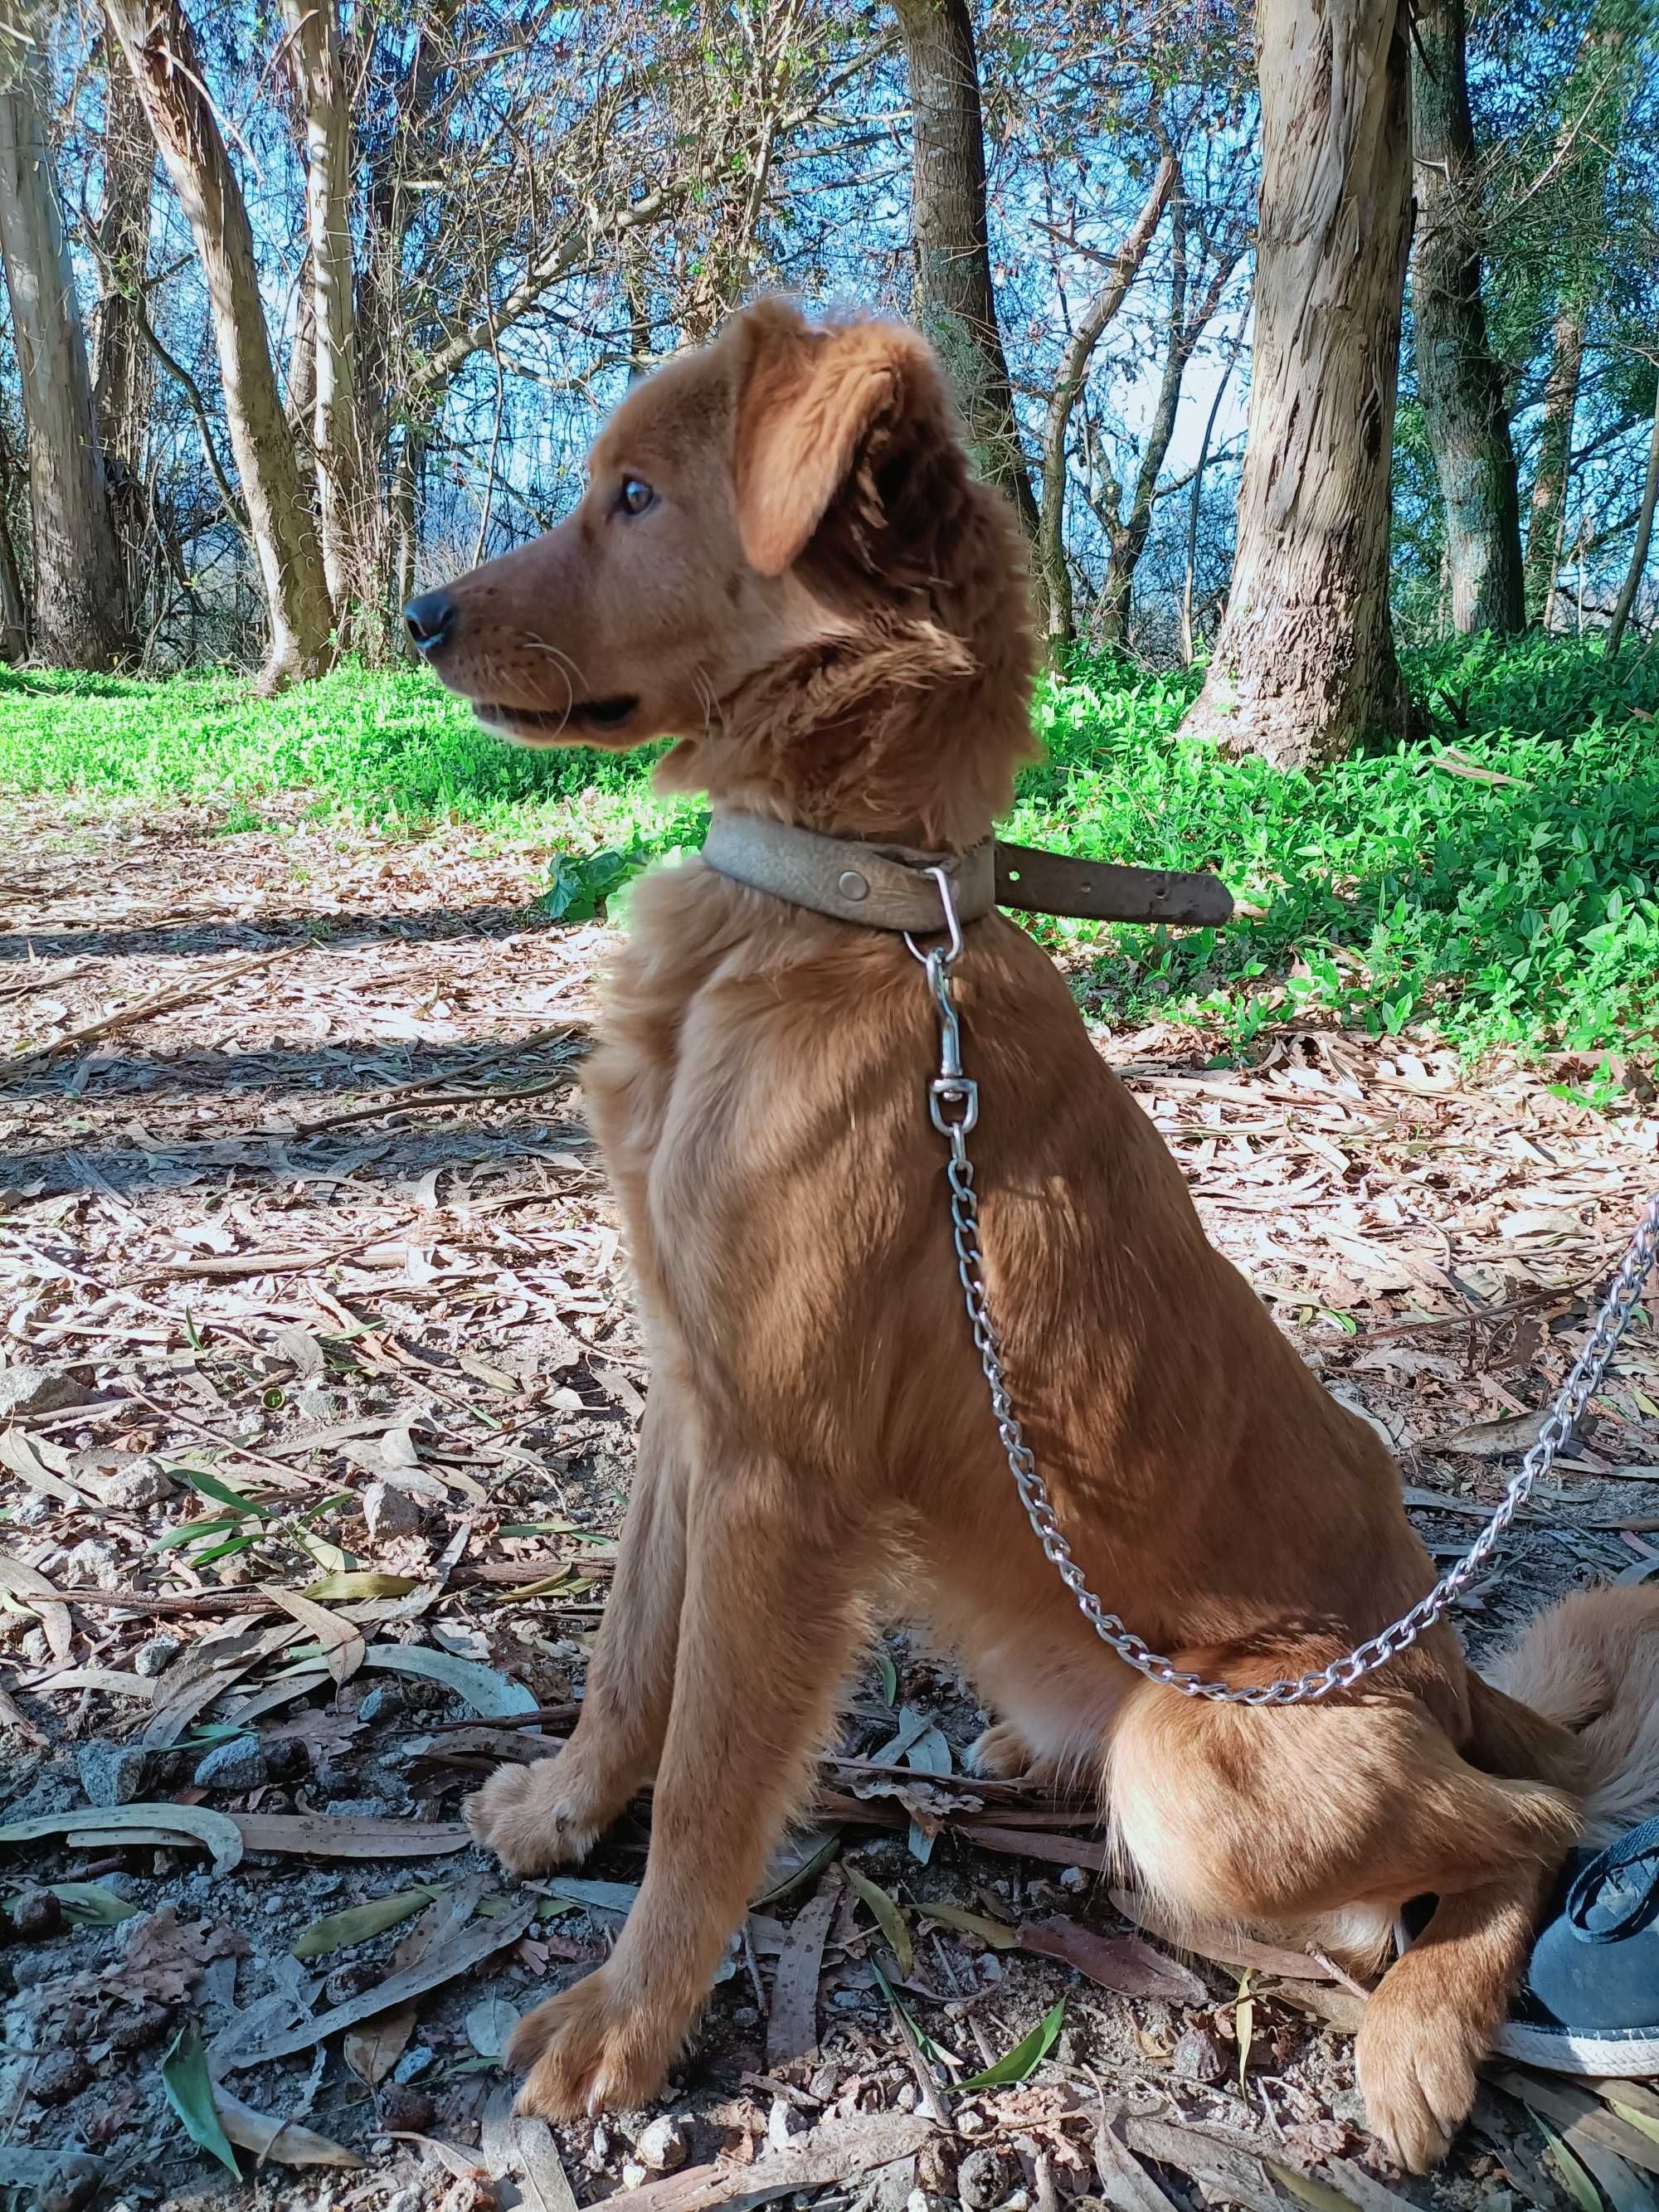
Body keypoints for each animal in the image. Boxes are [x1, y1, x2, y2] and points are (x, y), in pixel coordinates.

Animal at [413, 303, 1659, 2167]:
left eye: (633, 495)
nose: (420, 614)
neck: (847, 902)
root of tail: (1445, 1671)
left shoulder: (780, 1470)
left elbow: (710, 1772)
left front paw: (631, 2014)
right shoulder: (689, 1401)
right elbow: (629, 1656)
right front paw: (566, 1807)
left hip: (1197, 1756)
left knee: (1523, 1827)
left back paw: (1422, 2037)